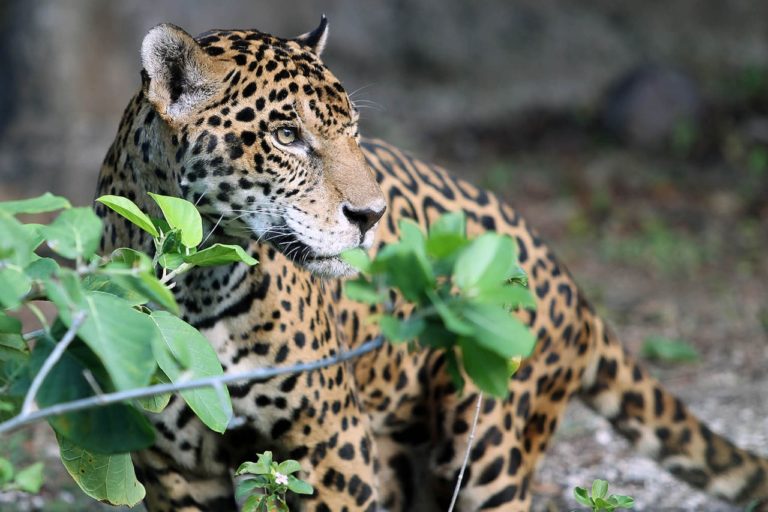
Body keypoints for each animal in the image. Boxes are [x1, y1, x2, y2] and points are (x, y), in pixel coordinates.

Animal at [94, 17, 768, 512]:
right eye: (286, 136)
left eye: (353, 131)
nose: (371, 215)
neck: (199, 289)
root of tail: (570, 285)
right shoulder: (172, 471)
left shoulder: (335, 447)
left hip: (486, 440)